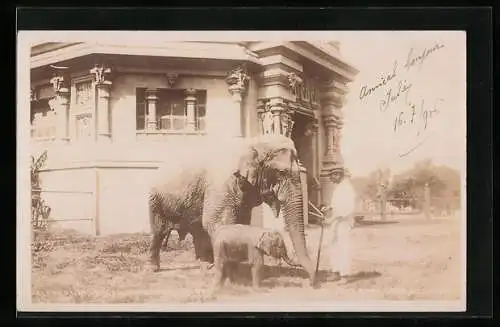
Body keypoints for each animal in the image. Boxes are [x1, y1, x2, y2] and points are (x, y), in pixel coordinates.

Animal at [148, 135, 318, 288]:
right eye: (282, 172)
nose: (310, 284)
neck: (253, 142)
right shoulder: (221, 186)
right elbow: (217, 223)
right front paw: (231, 278)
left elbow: (241, 223)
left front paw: (235, 272)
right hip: (156, 201)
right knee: (158, 232)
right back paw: (154, 268)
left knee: (198, 230)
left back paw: (206, 266)